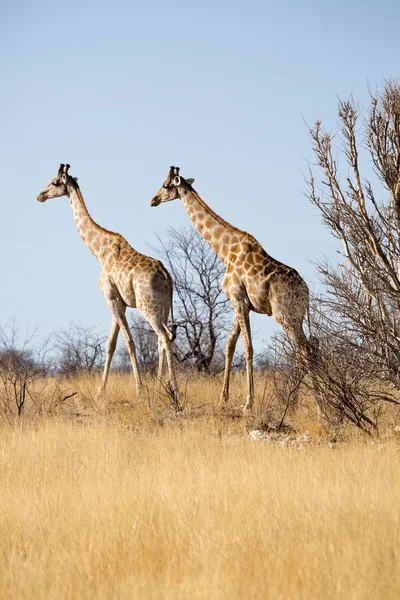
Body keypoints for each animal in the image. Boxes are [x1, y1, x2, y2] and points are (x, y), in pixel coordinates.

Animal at [37, 164, 178, 398]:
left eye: (55, 182)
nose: (40, 195)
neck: (99, 251)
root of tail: (166, 276)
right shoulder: (119, 301)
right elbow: (110, 344)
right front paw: (99, 392)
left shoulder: (111, 297)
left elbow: (128, 342)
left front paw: (139, 390)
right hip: (164, 307)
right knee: (164, 338)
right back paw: (161, 387)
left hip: (147, 306)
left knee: (164, 336)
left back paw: (173, 389)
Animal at [150, 166, 318, 412]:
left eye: (165, 185)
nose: (153, 200)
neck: (225, 250)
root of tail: (305, 292)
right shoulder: (241, 302)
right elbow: (229, 346)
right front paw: (223, 399)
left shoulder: (238, 299)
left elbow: (248, 348)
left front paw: (248, 403)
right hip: (298, 316)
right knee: (307, 349)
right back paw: (300, 402)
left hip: (284, 315)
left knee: (305, 351)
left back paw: (319, 406)